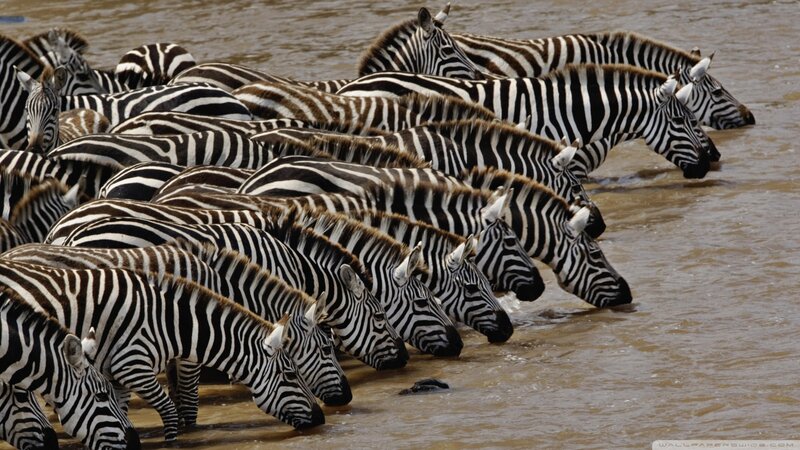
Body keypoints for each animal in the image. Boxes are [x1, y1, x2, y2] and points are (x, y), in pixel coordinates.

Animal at [2, 240, 352, 414]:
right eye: (327, 348)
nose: (347, 397)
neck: (220, 284)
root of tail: (13, 250)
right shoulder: (189, 341)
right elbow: (187, 389)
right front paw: (187, 426)